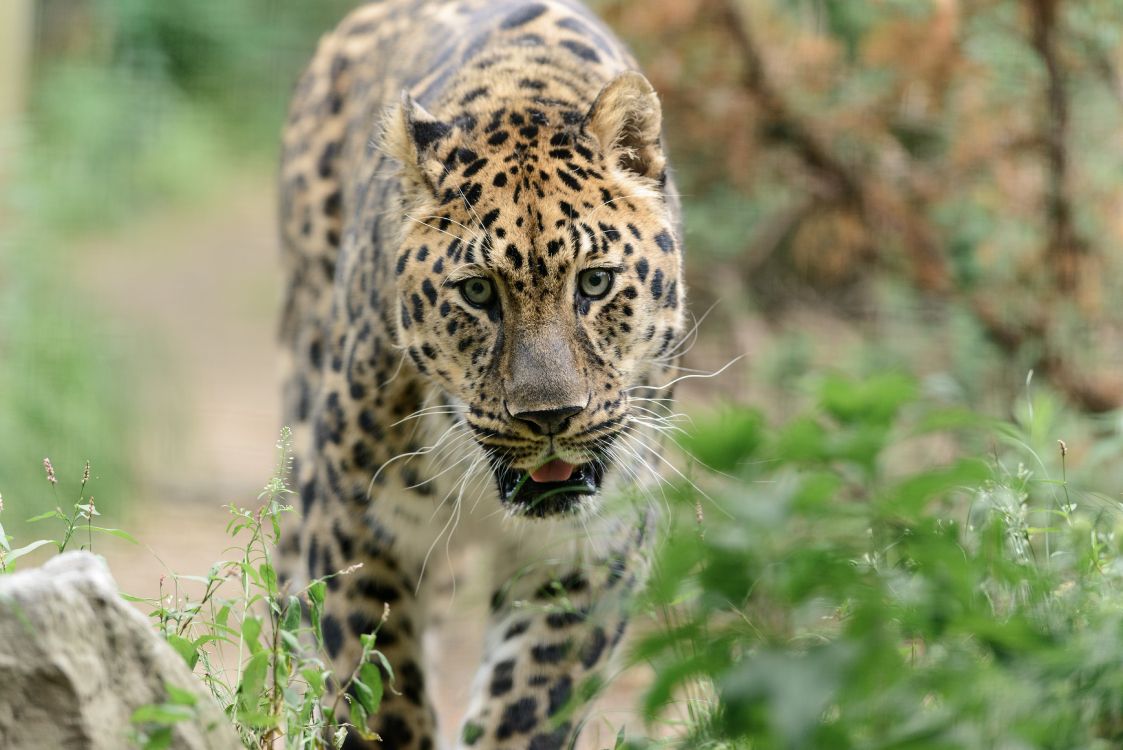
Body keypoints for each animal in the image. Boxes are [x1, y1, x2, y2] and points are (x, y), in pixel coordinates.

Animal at [276, 2, 687, 745]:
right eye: (476, 293)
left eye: (595, 282)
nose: (551, 418)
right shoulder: (355, 524)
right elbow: (374, 691)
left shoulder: (591, 554)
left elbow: (530, 706)